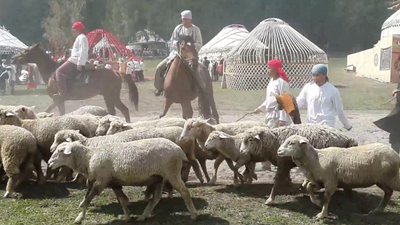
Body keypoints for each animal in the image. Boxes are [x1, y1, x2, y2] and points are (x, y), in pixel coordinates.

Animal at [48, 139, 197, 223]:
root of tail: (179, 150)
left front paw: (79, 217)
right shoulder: (114, 183)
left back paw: (194, 215)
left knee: (184, 192)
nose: (49, 163)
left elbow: (88, 199)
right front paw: (127, 217)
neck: (89, 158)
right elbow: (122, 200)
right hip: (159, 178)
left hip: (172, 172)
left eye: (60, 151)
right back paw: (143, 216)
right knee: (156, 198)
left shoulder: (101, 181)